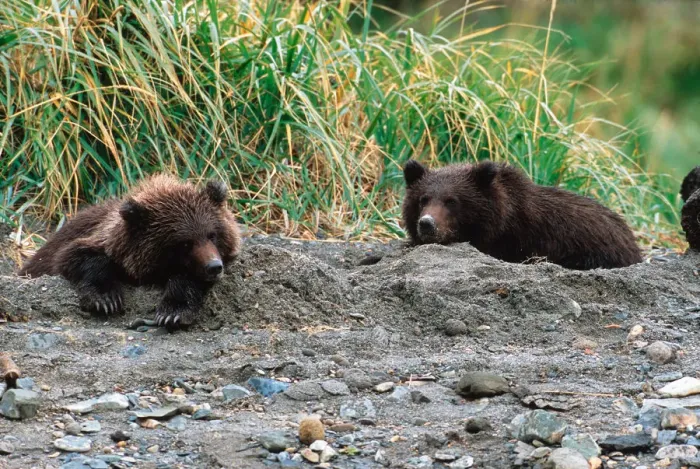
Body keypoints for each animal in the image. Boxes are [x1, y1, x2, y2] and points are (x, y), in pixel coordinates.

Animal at [18, 174, 241, 329]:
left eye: (212, 235)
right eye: (185, 243)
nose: (214, 266)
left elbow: (186, 279)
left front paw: (172, 312)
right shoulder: (95, 237)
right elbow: (76, 256)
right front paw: (106, 299)